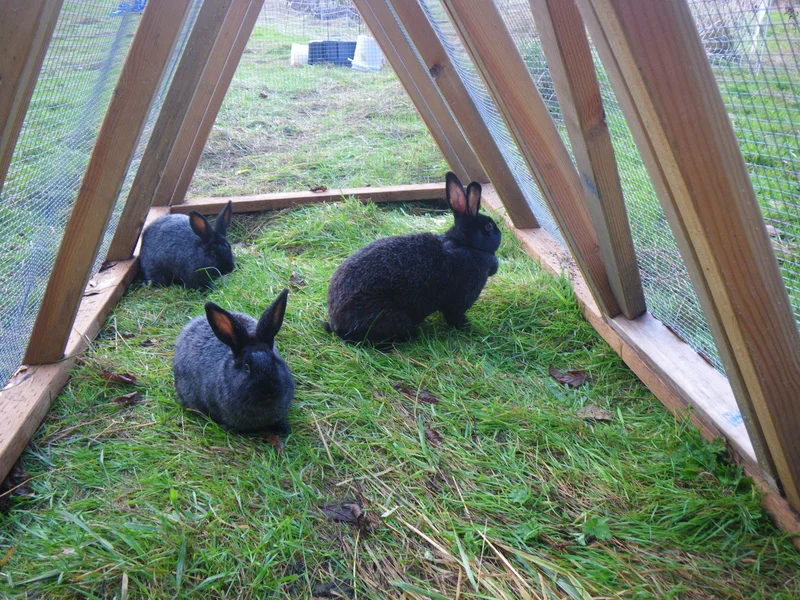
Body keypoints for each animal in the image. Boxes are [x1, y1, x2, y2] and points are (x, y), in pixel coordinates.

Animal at [323, 172, 501, 344]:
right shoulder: (459, 300)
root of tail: (337, 324)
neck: (464, 244)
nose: (500, 234)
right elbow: (454, 316)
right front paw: (470, 328)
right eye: (488, 227)